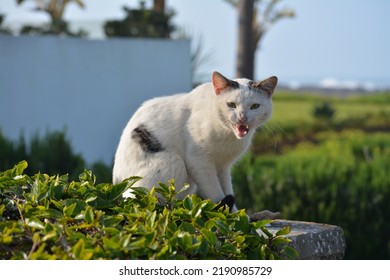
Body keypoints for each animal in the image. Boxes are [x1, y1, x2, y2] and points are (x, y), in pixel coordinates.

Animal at [112, 71, 278, 218]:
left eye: (255, 106)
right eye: (231, 104)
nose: (242, 118)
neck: (228, 135)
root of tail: (117, 183)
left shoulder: (223, 166)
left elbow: (227, 188)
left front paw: (238, 215)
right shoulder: (199, 162)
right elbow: (216, 192)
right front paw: (226, 216)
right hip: (172, 162)